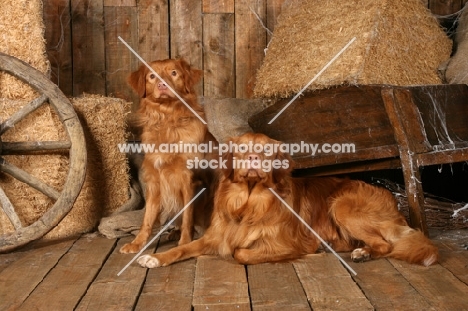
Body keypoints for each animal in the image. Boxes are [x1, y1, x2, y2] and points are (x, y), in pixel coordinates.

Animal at [120, 59, 216, 256]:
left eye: (174, 73)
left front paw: (184, 243)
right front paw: (137, 243)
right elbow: (147, 218)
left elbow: (187, 217)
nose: (162, 84)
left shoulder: (189, 180)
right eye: (152, 76)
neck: (167, 119)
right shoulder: (155, 181)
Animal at [134, 133, 438, 266]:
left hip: (342, 205)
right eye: (242, 149)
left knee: (385, 245)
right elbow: (182, 249)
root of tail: (391, 197)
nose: (253, 158)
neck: (248, 204)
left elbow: (240, 252)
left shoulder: (284, 244)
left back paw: (361, 253)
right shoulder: (214, 237)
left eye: (266, 151)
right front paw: (156, 258)